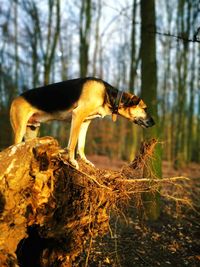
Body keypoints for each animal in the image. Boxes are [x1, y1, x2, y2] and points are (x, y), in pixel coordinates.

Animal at [9, 77, 155, 169]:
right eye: (145, 108)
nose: (153, 122)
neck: (107, 94)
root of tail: (15, 99)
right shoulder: (77, 115)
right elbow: (73, 143)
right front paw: (72, 160)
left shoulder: (85, 122)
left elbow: (81, 145)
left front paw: (84, 160)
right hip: (20, 130)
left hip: (32, 130)